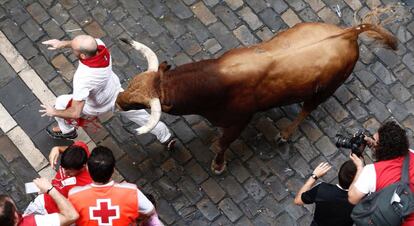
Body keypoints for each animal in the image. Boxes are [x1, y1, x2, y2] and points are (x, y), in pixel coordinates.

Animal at [118, 21, 396, 174]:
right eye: (132, 83)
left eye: (141, 103)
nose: (119, 99)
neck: (214, 81)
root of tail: (349, 32)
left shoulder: (239, 121)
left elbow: (222, 144)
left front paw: (218, 166)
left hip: (327, 90)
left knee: (307, 109)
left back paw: (285, 134)